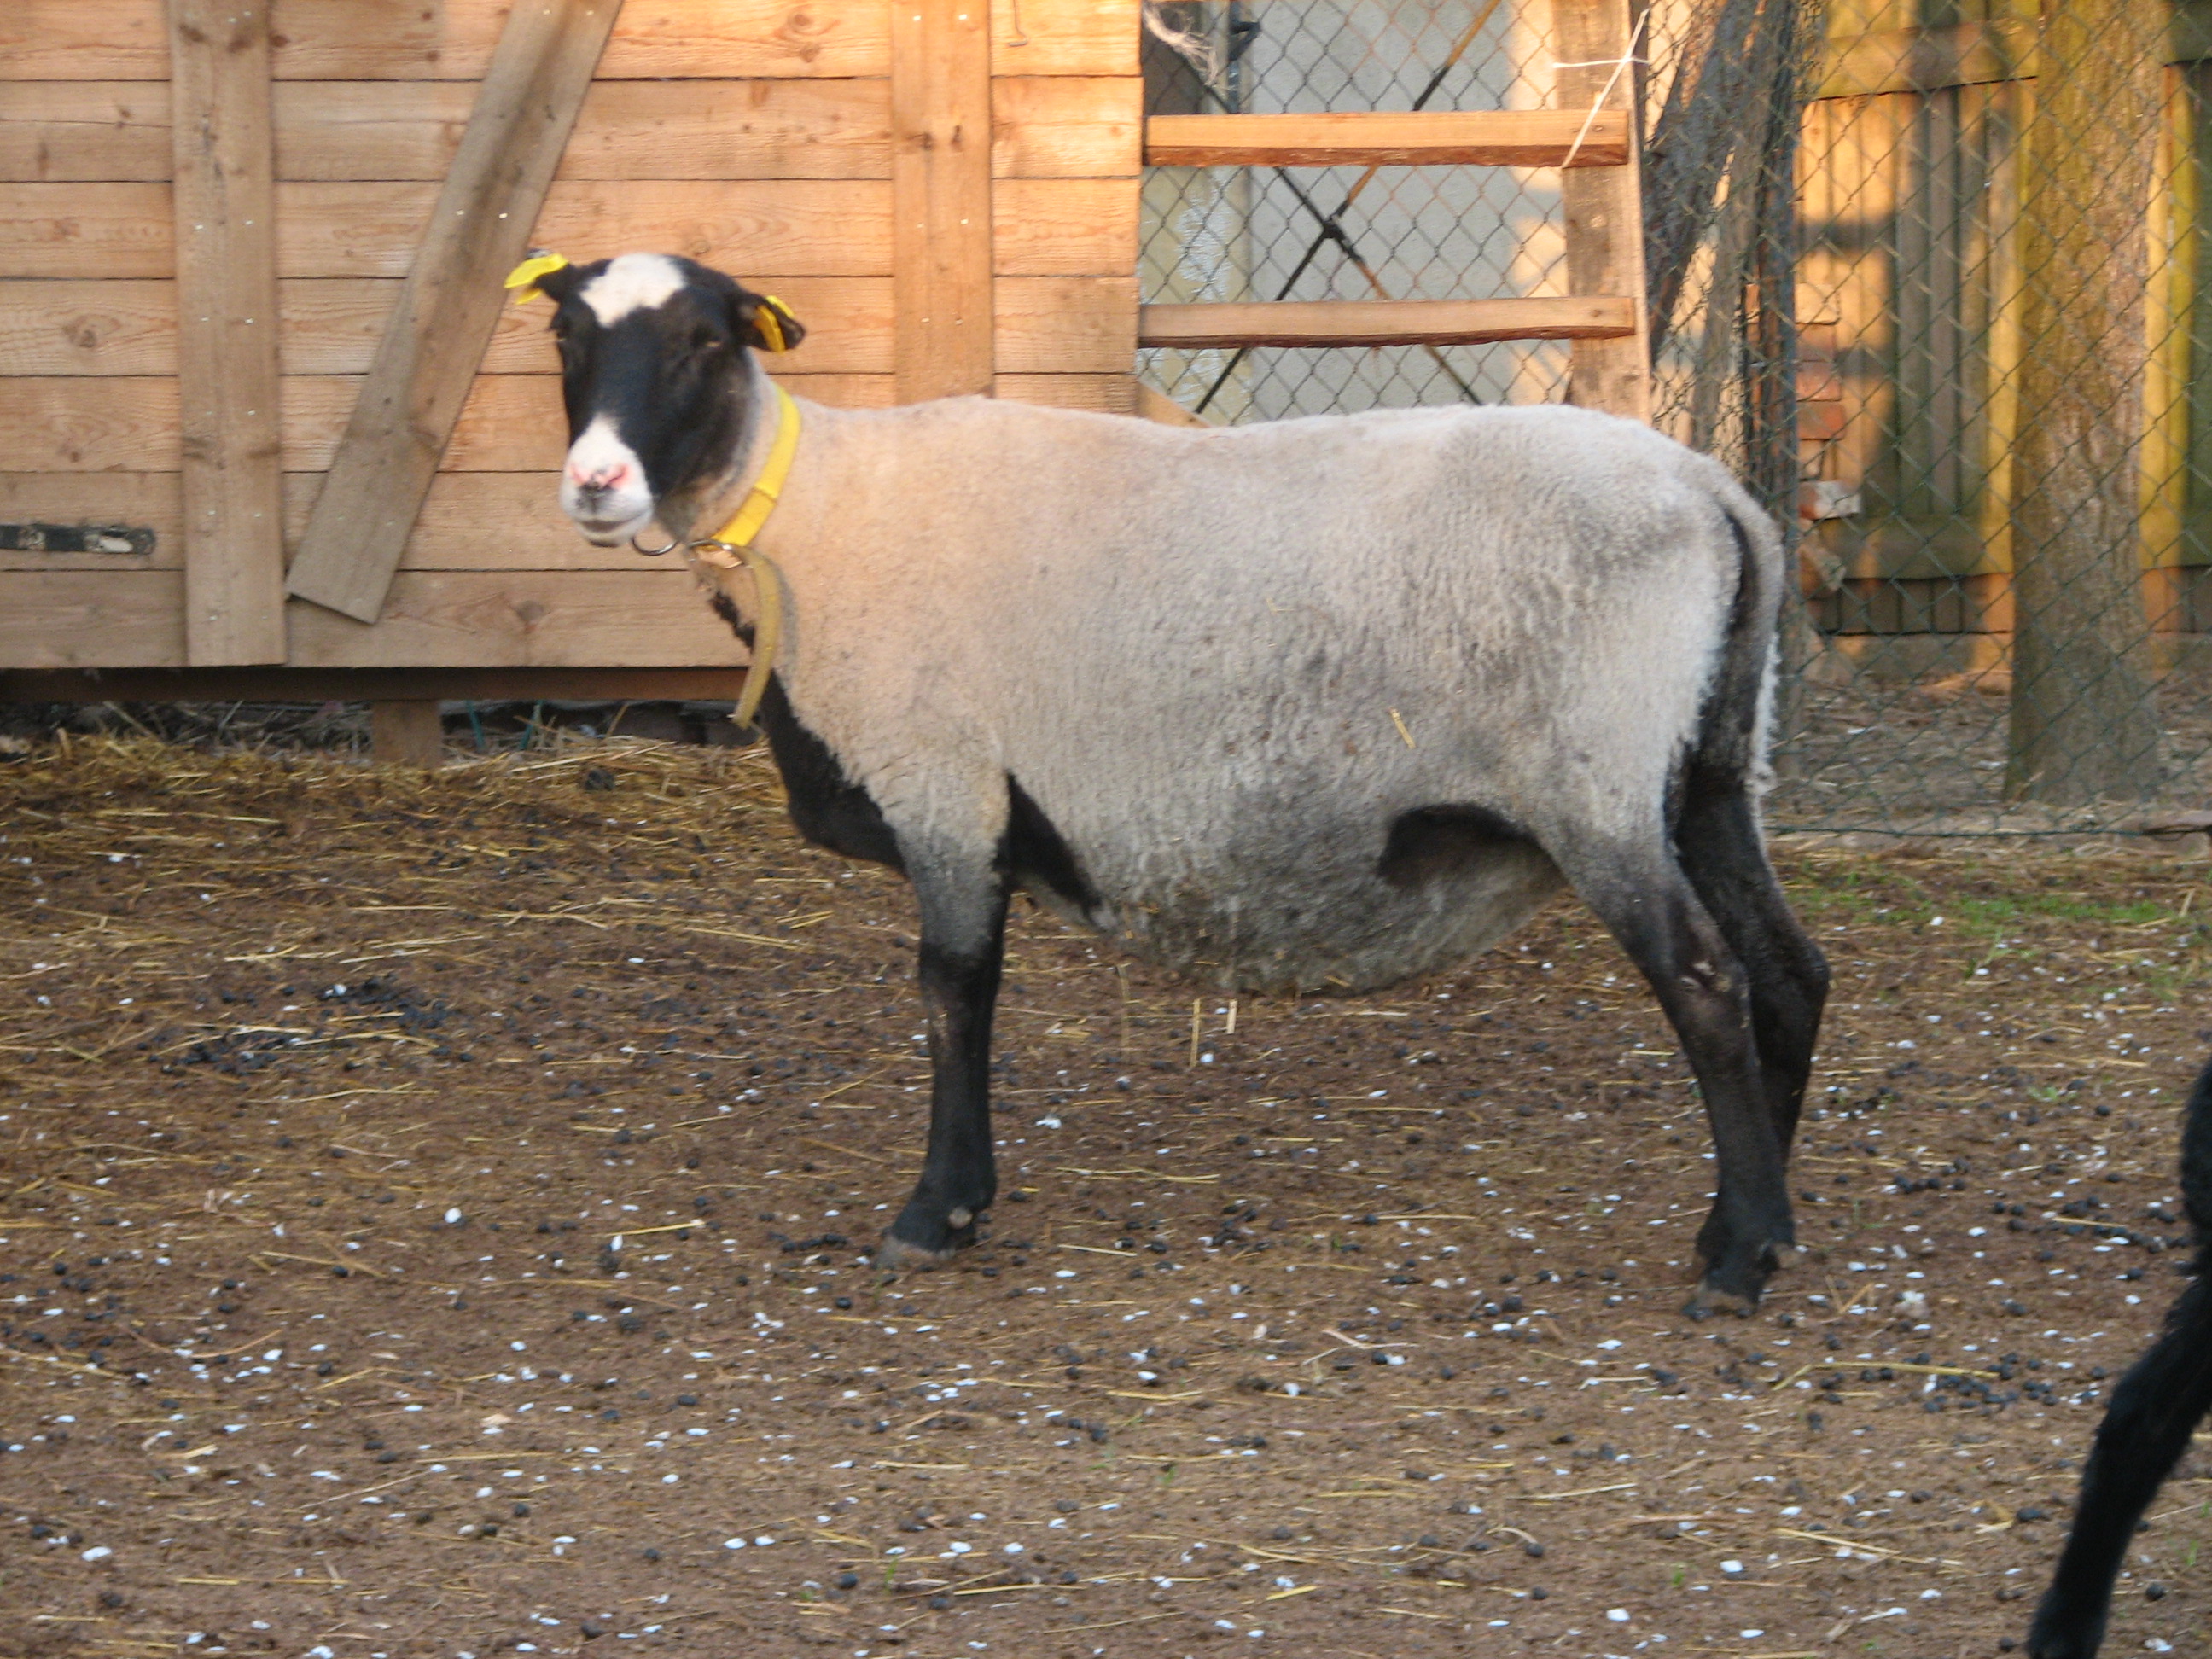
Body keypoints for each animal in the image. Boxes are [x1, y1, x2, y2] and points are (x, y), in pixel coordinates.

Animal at [518, 250, 1830, 1313]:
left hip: (1598, 780)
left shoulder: (945, 784)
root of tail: (1718, 496)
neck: (816, 517)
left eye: (703, 341)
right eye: (566, 337)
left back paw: (1737, 1259)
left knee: (1707, 980)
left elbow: (954, 996)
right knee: (1789, 969)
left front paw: (938, 1211)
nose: (594, 484)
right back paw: (1754, 1215)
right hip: (1708, 767)